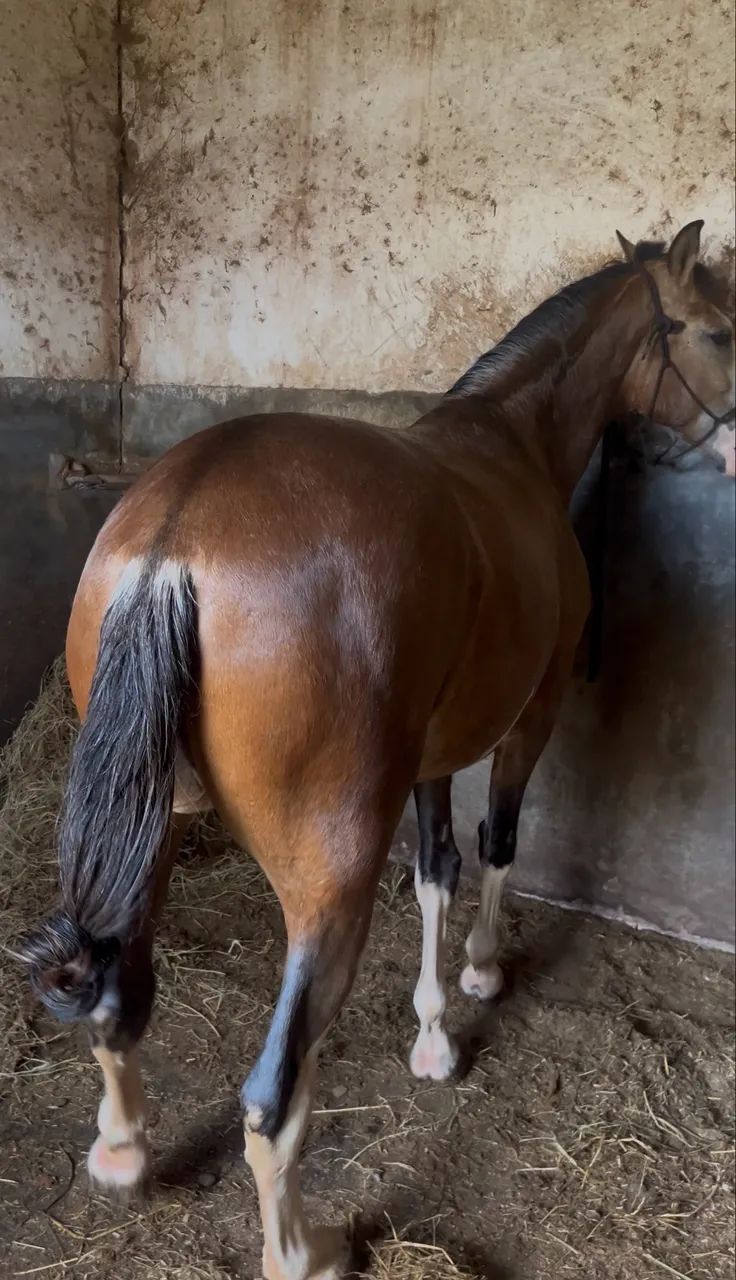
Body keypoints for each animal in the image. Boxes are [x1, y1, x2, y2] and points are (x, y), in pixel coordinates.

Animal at [19, 221, 734, 1280]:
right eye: (719, 330)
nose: (732, 444)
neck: (511, 440)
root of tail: (175, 534)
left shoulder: (431, 753)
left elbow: (435, 871)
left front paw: (433, 1031)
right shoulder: (529, 718)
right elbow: (494, 849)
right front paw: (480, 976)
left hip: (148, 832)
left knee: (114, 1002)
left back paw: (123, 1153)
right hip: (331, 875)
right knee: (271, 1101)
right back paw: (302, 1248)